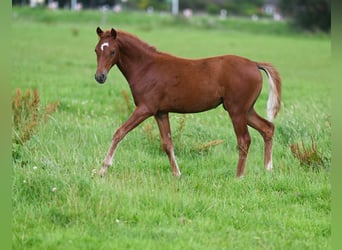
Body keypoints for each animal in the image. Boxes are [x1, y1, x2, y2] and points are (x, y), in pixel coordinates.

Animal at [94, 27, 280, 178]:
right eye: (96, 50)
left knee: (244, 140)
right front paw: (177, 174)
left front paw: (103, 169)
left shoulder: (146, 108)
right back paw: (268, 169)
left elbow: (119, 132)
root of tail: (254, 64)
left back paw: (239, 176)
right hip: (246, 110)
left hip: (237, 111)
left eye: (112, 51)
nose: (99, 77)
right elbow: (167, 144)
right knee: (267, 128)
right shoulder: (161, 113)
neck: (146, 67)